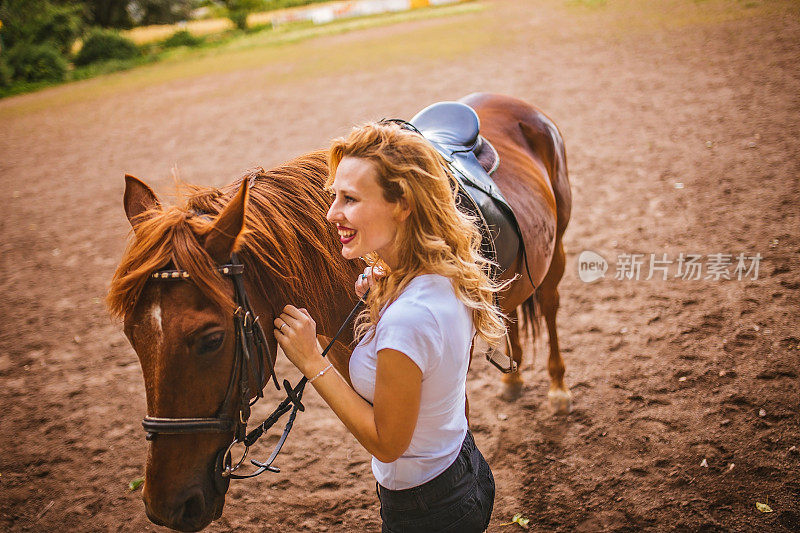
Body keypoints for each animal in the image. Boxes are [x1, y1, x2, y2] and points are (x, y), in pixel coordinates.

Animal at [108, 93, 568, 528]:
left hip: (556, 251)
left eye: (211, 339)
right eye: (132, 334)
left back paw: (558, 387)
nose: (166, 506)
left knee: (548, 306)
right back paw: (515, 378)